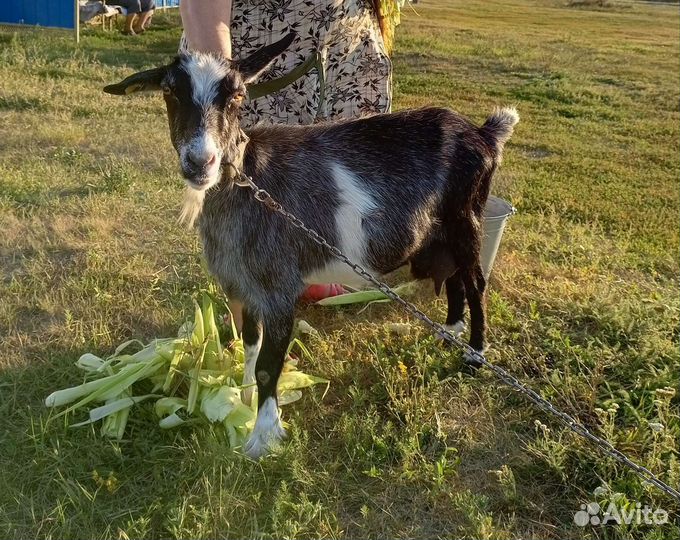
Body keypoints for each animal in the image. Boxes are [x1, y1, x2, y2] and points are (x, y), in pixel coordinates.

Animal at [104, 33, 518, 458]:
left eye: (236, 96)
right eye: (170, 91)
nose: (200, 162)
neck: (249, 180)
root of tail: (484, 134)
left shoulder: (280, 290)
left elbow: (268, 364)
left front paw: (262, 438)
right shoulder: (248, 289)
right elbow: (250, 347)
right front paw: (244, 396)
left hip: (466, 220)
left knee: (476, 284)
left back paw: (475, 354)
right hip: (441, 234)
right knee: (454, 279)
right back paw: (449, 332)